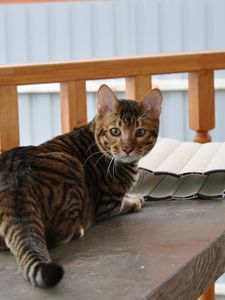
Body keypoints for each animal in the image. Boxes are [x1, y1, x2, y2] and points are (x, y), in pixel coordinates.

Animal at [0, 84, 162, 288]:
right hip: (72, 167)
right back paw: (78, 229)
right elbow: (123, 204)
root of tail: (13, 179)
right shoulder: (107, 204)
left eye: (140, 132)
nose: (127, 149)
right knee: (54, 236)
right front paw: (135, 199)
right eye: (115, 131)